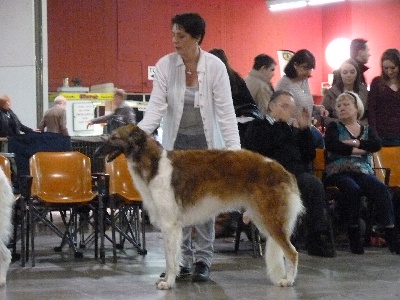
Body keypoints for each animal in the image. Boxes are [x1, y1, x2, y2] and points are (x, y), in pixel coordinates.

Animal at [96, 123, 304, 290]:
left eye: (114, 137)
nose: (97, 152)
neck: (154, 164)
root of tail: (283, 171)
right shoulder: (170, 225)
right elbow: (171, 257)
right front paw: (169, 278)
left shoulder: (170, 224)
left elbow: (171, 258)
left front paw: (168, 283)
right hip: (262, 218)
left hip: (270, 218)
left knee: (293, 252)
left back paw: (288, 281)